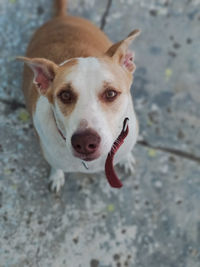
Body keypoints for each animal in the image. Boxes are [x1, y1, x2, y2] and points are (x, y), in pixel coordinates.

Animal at [17, 0, 141, 193]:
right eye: (65, 95)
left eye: (111, 93)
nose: (84, 142)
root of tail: (61, 18)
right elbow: (56, 166)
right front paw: (56, 176)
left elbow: (125, 150)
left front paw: (126, 159)